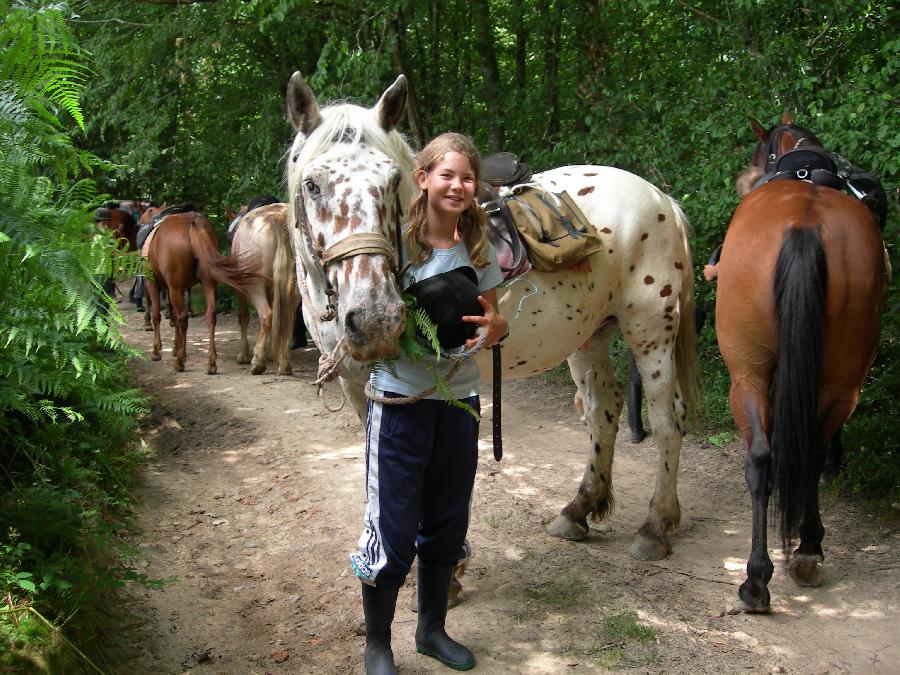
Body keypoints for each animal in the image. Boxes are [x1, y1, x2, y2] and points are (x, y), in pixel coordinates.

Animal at [147, 210, 264, 374]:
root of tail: (194, 223)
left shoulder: (153, 284)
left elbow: (157, 316)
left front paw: (157, 351)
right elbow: (173, 317)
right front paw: (175, 348)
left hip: (176, 286)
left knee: (183, 317)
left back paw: (180, 362)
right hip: (207, 282)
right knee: (210, 316)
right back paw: (211, 363)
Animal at [284, 71, 700, 564]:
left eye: (392, 181)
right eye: (312, 184)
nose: (375, 319)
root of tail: (659, 197)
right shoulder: (358, 385)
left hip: (651, 330)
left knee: (666, 418)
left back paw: (655, 525)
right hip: (589, 337)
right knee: (603, 411)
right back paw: (579, 510)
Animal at [716, 116, 884, 612]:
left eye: (761, 153)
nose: (744, 180)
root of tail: (804, 224)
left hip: (748, 373)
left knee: (764, 456)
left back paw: (760, 577)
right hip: (841, 380)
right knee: (796, 452)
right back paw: (800, 553)